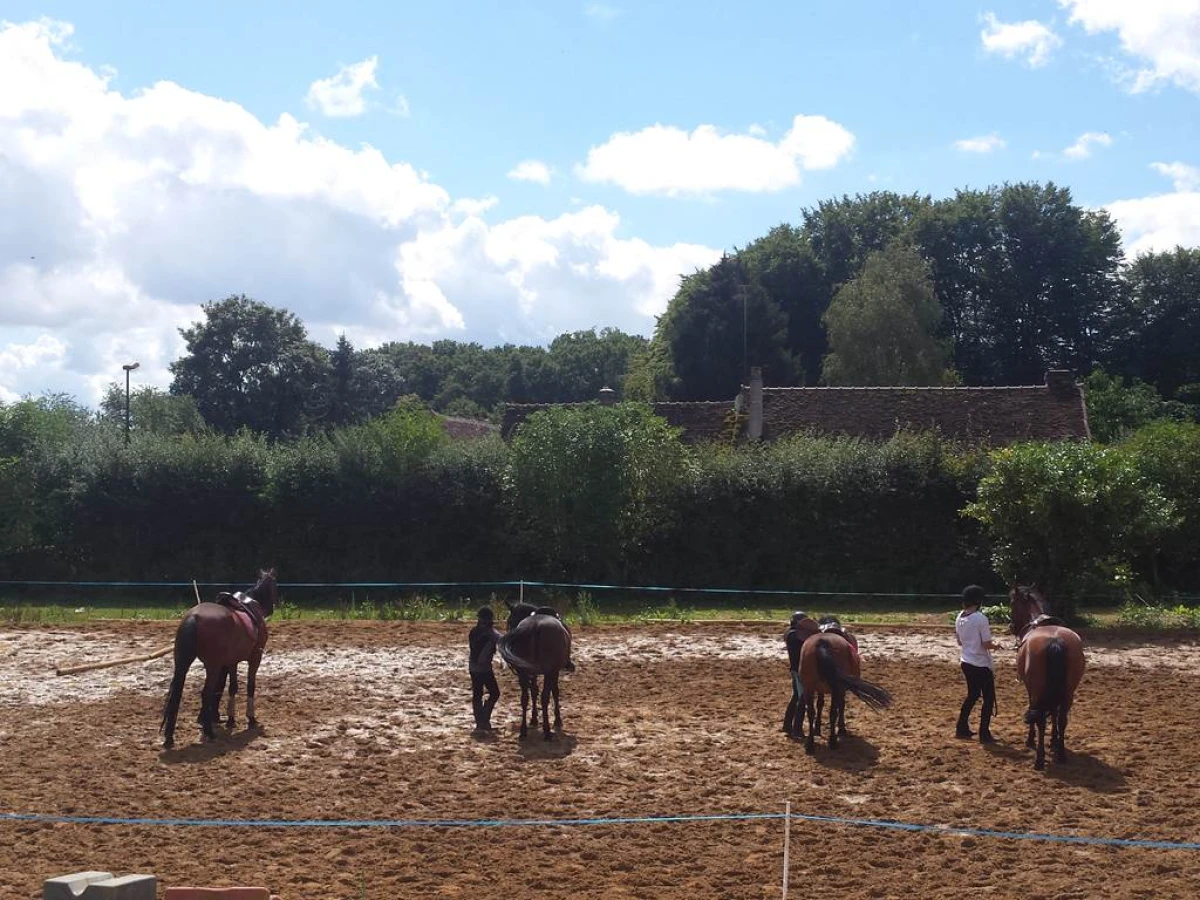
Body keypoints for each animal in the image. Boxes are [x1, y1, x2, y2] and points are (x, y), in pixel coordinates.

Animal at [160, 566, 277, 748]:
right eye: (274, 585)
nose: (272, 608)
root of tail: (193, 617)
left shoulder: (230, 662)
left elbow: (229, 687)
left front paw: (227, 718)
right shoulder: (254, 657)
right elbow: (248, 686)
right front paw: (250, 719)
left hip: (182, 665)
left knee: (176, 695)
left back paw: (170, 738)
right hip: (212, 666)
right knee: (206, 693)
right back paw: (209, 732)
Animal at [496, 600, 571, 739]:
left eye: (510, 621)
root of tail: (535, 626)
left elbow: (534, 691)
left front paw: (534, 718)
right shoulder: (554, 672)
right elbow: (555, 691)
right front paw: (557, 720)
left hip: (523, 672)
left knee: (525, 698)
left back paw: (523, 730)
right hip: (548, 671)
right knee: (544, 697)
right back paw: (547, 731)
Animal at [796, 628, 892, 758]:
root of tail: (822, 641)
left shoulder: (819, 689)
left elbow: (820, 705)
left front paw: (817, 729)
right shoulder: (840, 690)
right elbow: (840, 706)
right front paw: (841, 729)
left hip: (808, 688)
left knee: (811, 712)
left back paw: (810, 745)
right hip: (835, 689)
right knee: (833, 712)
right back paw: (833, 741)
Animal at [1012, 588, 1089, 772]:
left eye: (1012, 602)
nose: (1011, 627)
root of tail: (1055, 641)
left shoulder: (1031, 691)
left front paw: (1031, 739)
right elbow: (1054, 713)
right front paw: (1054, 739)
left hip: (1039, 693)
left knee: (1040, 719)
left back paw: (1039, 759)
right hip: (1068, 693)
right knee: (1062, 719)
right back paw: (1061, 754)